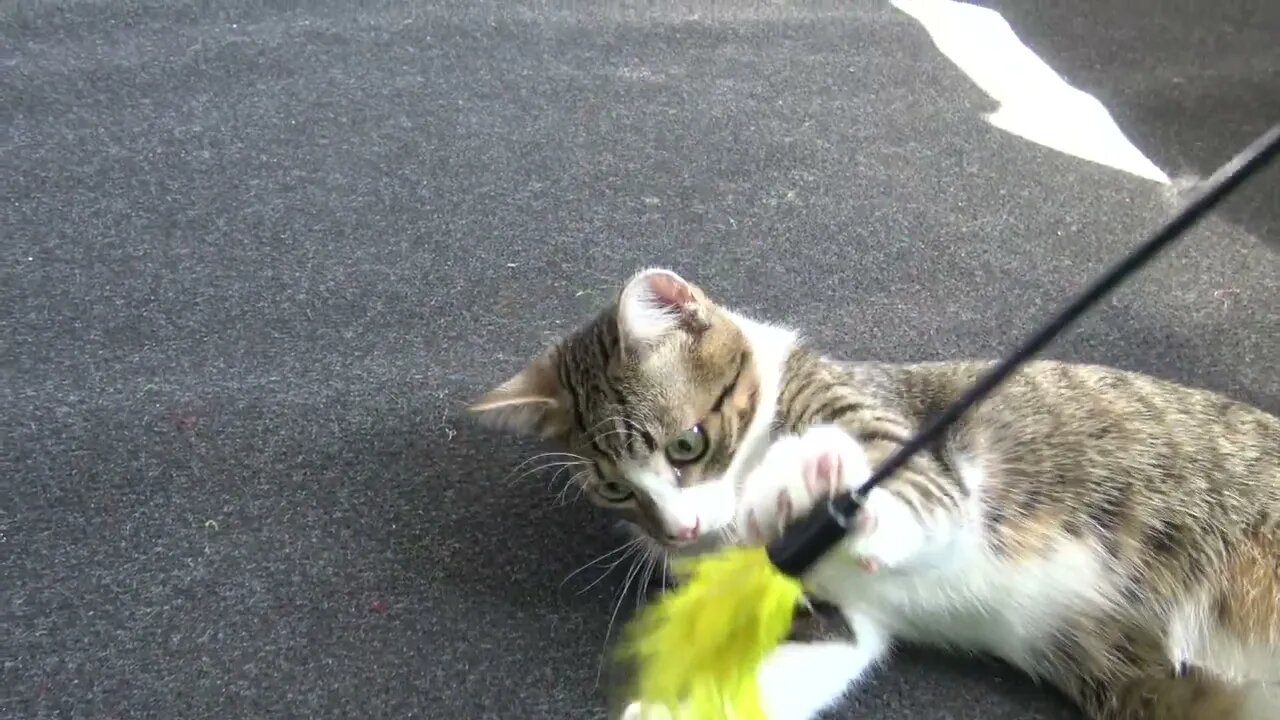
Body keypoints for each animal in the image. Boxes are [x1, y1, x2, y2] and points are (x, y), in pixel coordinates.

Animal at [471, 266, 1280, 712]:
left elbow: (913, 496)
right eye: (615, 490)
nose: (679, 532)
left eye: (687, 445)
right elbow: (799, 666)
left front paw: (808, 476)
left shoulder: (915, 453)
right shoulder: (834, 618)